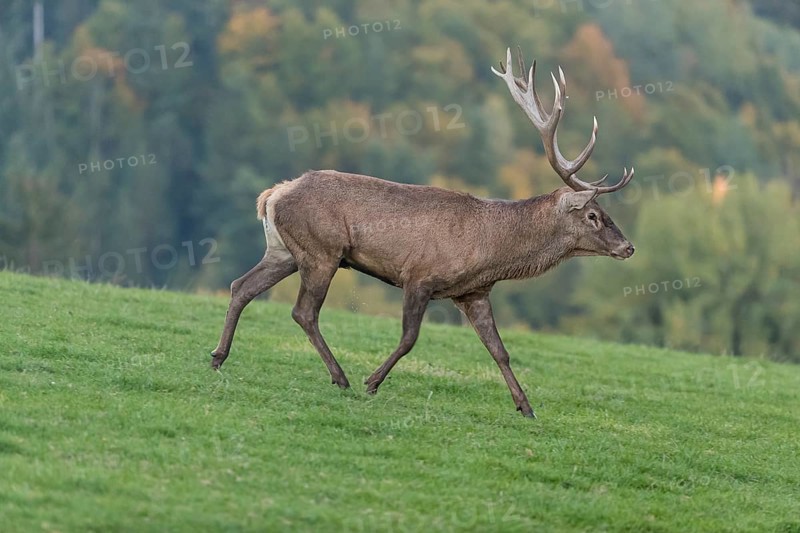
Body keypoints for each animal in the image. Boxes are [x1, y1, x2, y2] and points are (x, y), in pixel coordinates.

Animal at [210, 48, 635, 418]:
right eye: (594, 215)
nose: (628, 247)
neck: (491, 251)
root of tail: (272, 194)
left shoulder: (474, 292)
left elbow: (499, 350)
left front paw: (526, 407)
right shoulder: (420, 276)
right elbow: (409, 338)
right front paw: (372, 382)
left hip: (284, 250)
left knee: (241, 286)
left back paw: (218, 357)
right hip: (321, 251)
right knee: (303, 311)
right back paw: (340, 377)